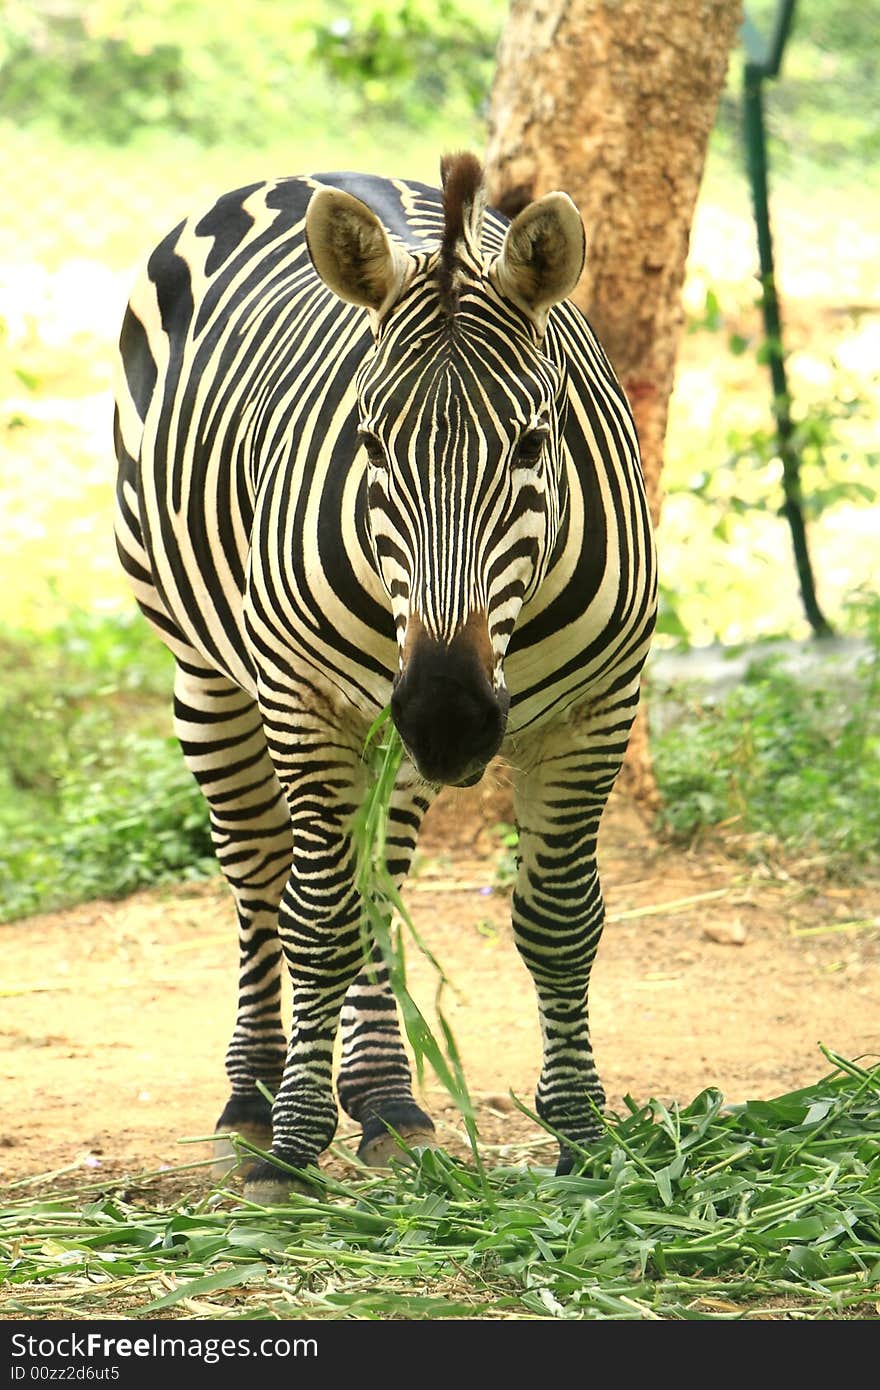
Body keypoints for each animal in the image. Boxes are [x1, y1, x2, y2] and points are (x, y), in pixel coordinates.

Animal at [111, 149, 653, 1195]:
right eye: (367, 442)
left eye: (534, 442)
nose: (447, 714)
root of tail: (308, 170)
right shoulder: (309, 705)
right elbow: (314, 921)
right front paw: (290, 1151)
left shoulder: (597, 712)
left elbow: (561, 923)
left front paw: (584, 1135)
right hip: (210, 676)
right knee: (259, 875)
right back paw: (253, 1099)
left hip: (386, 739)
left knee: (375, 879)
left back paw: (387, 1099)